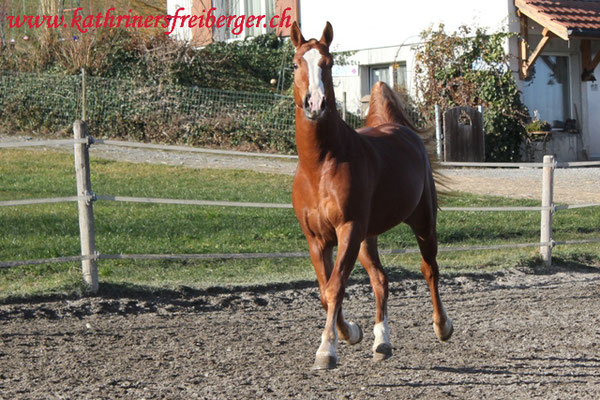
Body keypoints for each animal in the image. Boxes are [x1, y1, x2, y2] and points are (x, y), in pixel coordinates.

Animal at [288, 21, 452, 368]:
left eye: (328, 63)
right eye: (296, 64)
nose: (315, 104)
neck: (320, 166)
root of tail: (397, 128)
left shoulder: (348, 230)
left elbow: (335, 287)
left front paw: (327, 350)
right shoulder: (317, 239)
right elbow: (324, 293)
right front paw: (352, 332)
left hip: (422, 223)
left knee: (430, 269)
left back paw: (442, 326)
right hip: (367, 239)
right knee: (381, 279)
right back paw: (382, 342)